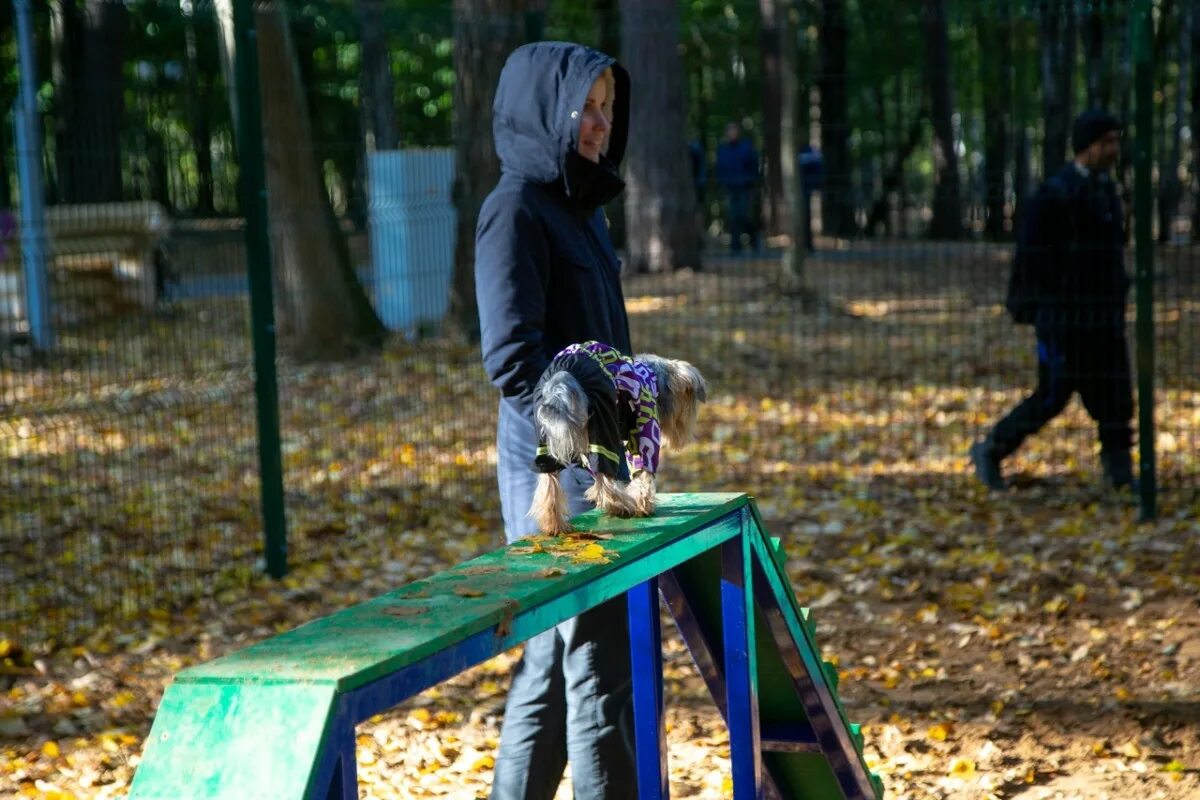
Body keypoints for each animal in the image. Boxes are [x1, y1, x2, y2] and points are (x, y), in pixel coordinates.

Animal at [530, 338, 705, 532]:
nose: (686, 434)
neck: (652, 379)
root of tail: (563, 377)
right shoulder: (644, 426)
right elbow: (642, 470)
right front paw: (643, 505)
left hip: (547, 440)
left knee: (550, 480)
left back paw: (553, 524)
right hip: (603, 427)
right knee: (604, 478)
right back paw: (621, 507)